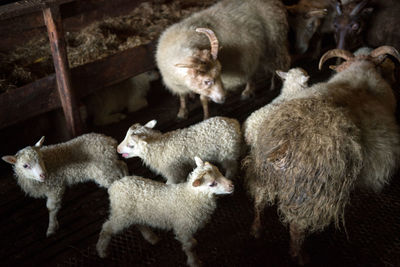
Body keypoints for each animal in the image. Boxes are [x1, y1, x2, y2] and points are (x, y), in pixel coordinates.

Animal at [96, 157, 234, 267]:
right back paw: (102, 251)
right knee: (106, 228)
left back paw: (151, 238)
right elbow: (189, 246)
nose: (231, 185)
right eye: (212, 184)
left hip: (132, 213)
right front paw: (194, 262)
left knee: (138, 223)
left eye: (219, 171)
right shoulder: (183, 227)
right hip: (121, 213)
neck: (191, 197)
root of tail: (115, 184)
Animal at [156, 0, 290, 120]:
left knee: (282, 65)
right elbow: (182, 97)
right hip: (255, 53)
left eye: (220, 73)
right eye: (207, 81)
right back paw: (250, 90)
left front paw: (206, 117)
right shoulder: (176, 83)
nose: (223, 98)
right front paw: (182, 112)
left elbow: (203, 100)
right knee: (253, 71)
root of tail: (274, 3)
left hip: (275, 45)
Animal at [242, 46, 400, 266]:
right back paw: (300, 255)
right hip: (311, 191)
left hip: (262, 173)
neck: (360, 76)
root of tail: (283, 145)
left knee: (258, 201)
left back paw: (256, 229)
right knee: (297, 226)